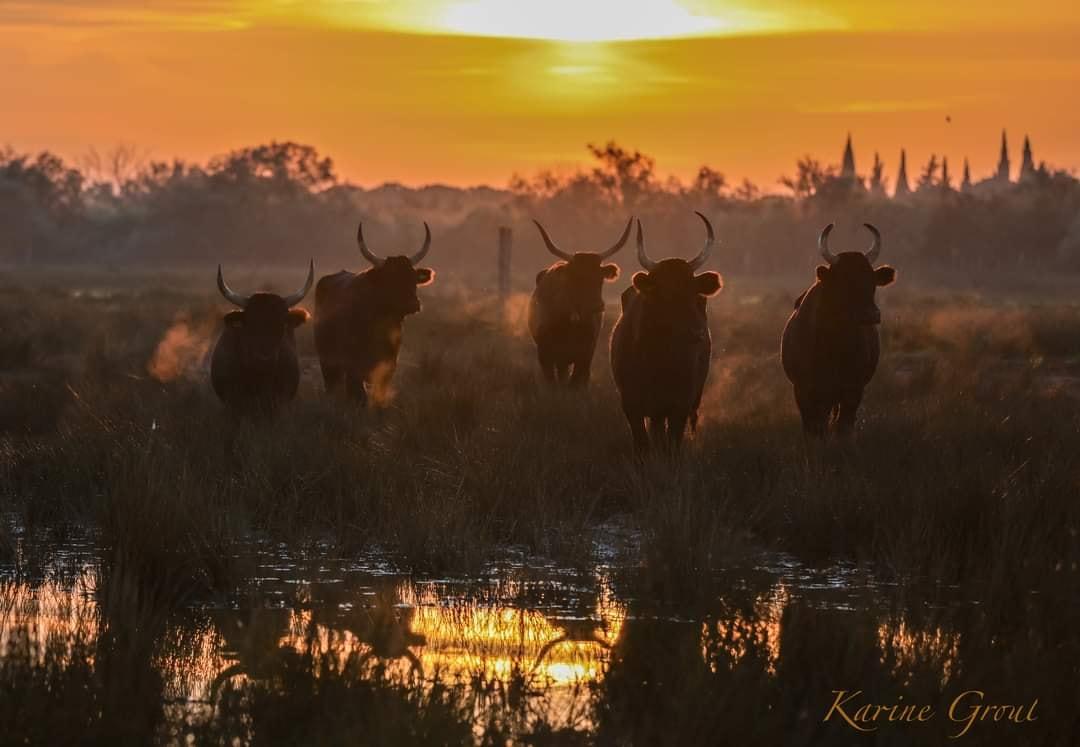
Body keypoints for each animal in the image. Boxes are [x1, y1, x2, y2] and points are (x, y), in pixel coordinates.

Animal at [313, 221, 434, 405]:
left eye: (413, 278)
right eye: (390, 278)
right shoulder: (353, 366)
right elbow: (358, 395)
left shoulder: (388, 366)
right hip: (327, 359)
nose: (413, 303)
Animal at [524, 216, 630, 384]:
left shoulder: (585, 355)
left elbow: (575, 382)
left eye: (600, 278)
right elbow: (552, 383)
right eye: (576, 278)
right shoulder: (545, 355)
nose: (596, 305)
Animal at [613, 212, 721, 451]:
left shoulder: (679, 404)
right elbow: (642, 444)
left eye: (695, 293)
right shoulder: (631, 404)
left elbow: (672, 444)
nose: (697, 332)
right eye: (666, 292)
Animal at [786, 221, 894, 433]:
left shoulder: (853, 389)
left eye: (872, 281)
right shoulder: (804, 391)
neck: (834, 344)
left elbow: (842, 427)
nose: (871, 314)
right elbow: (814, 428)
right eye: (844, 281)